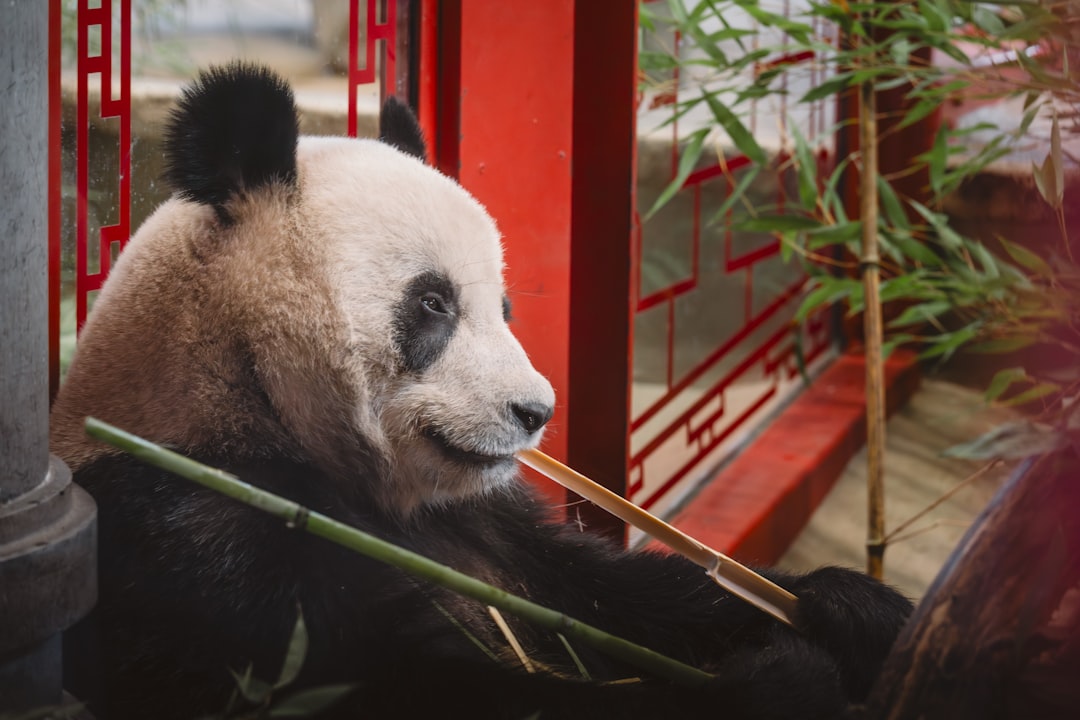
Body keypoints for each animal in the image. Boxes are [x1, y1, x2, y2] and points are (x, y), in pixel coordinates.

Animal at [51, 63, 912, 720]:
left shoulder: (489, 517)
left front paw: (851, 612)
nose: (536, 413)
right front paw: (776, 683)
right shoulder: (198, 531)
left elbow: (614, 592)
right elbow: (388, 684)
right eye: (434, 304)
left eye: (503, 306)